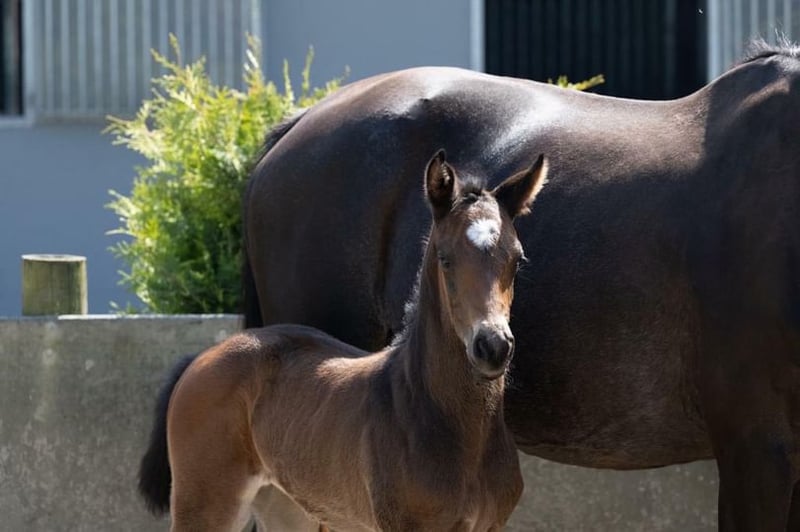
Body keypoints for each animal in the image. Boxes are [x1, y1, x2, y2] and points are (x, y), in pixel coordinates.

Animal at [139, 150, 548, 531]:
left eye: (517, 260)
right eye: (445, 259)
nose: (493, 346)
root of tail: (200, 359)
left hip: (286, 506)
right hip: (204, 503)